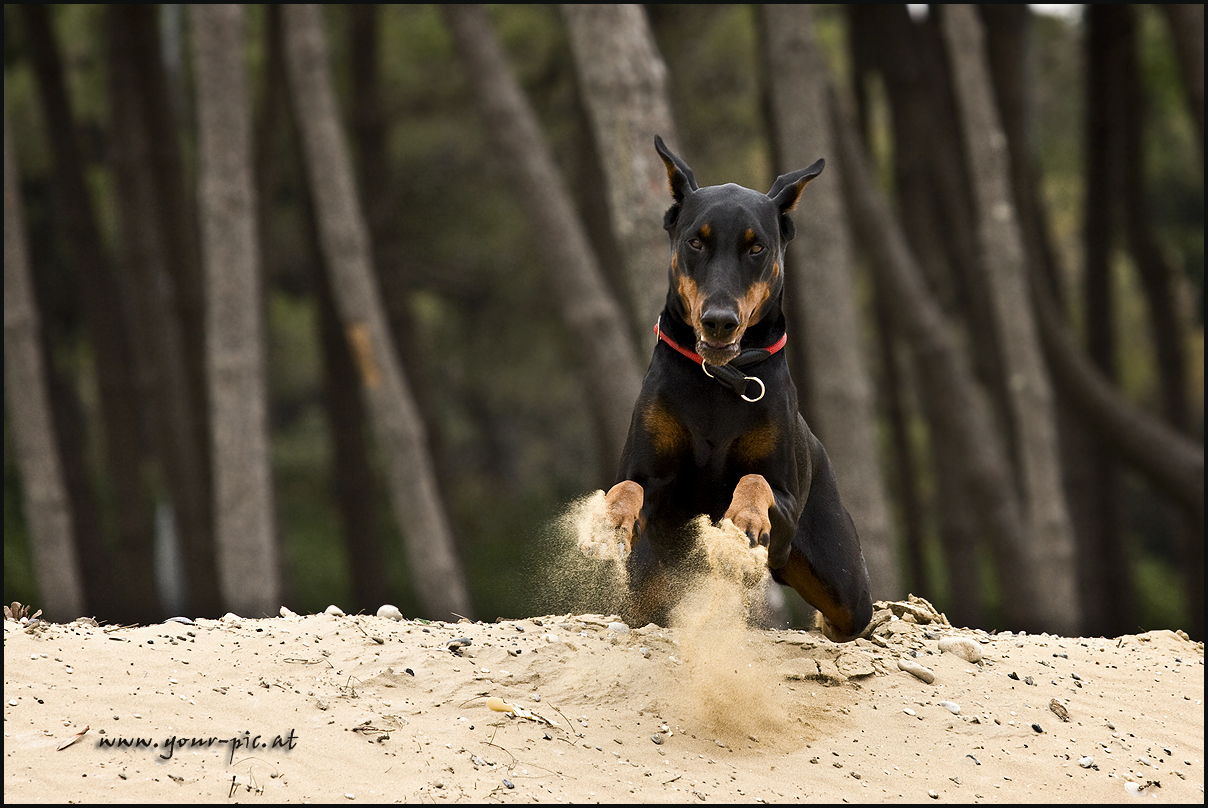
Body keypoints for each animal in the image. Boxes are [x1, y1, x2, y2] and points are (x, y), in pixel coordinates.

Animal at [608, 137, 874, 642]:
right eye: (696, 241)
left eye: (757, 248)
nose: (719, 320)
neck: (719, 380)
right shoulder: (653, 481)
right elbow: (629, 486)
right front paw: (610, 517)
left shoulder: (786, 501)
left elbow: (756, 482)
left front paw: (743, 521)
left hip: (845, 582)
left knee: (847, 613)